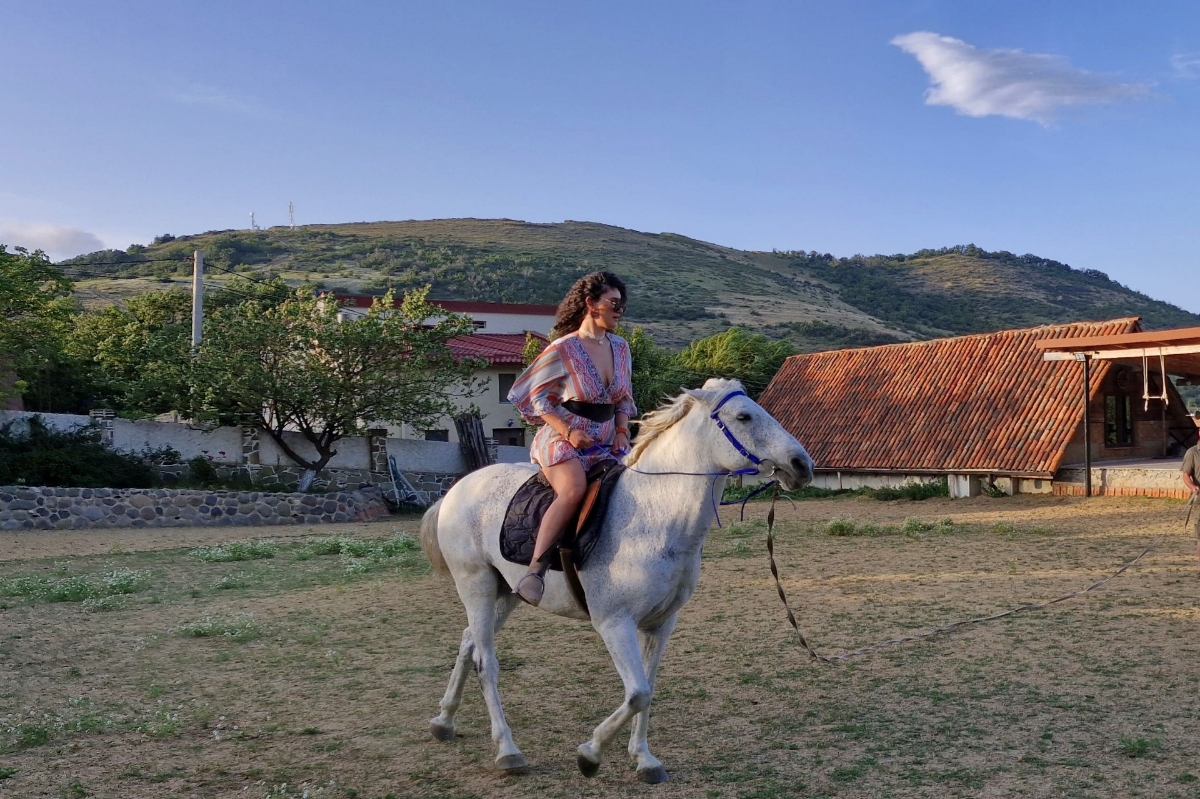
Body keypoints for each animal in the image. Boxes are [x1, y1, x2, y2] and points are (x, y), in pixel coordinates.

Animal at [417, 376, 811, 782]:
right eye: (743, 416)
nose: (802, 464)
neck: (656, 516)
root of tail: (456, 491)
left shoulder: (661, 624)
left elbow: (648, 689)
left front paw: (644, 759)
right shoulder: (614, 623)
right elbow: (637, 693)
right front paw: (590, 754)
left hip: (507, 592)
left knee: (468, 642)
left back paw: (444, 721)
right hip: (476, 586)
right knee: (486, 662)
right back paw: (507, 751)